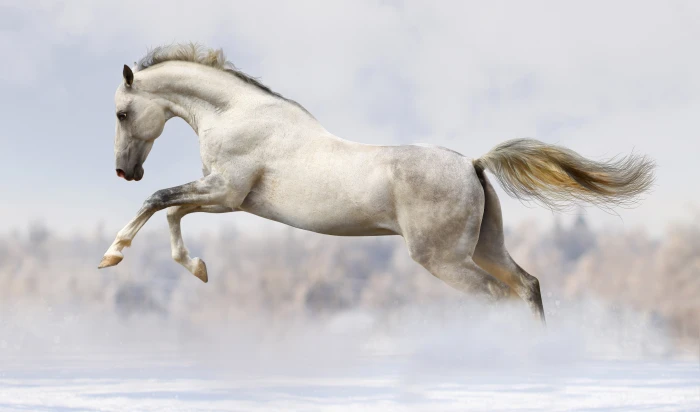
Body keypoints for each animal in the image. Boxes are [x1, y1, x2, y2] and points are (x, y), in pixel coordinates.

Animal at [98, 44, 655, 323]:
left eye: (123, 113)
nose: (125, 171)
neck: (238, 114)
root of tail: (473, 164)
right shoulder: (225, 197)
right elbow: (172, 210)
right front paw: (198, 269)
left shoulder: (225, 191)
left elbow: (159, 201)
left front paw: (112, 255)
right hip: (485, 247)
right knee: (527, 286)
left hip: (443, 259)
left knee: (498, 297)